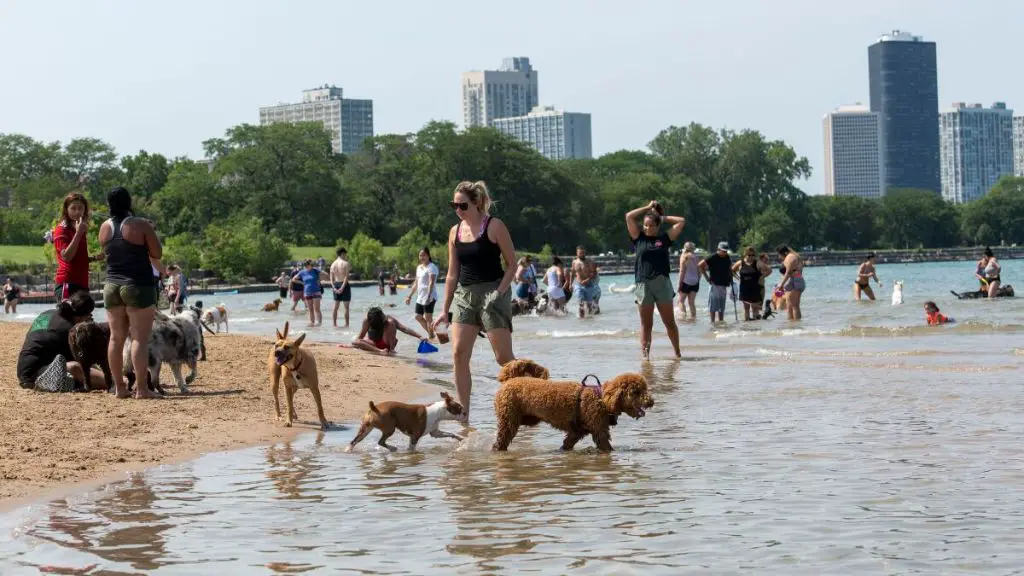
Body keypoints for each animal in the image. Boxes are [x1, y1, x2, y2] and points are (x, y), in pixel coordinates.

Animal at [489, 358, 651, 448]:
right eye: (636, 392)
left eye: (645, 388)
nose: (651, 402)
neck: (601, 398)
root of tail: (509, 380)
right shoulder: (599, 430)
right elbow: (605, 445)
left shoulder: (576, 432)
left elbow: (567, 443)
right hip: (509, 419)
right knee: (500, 441)